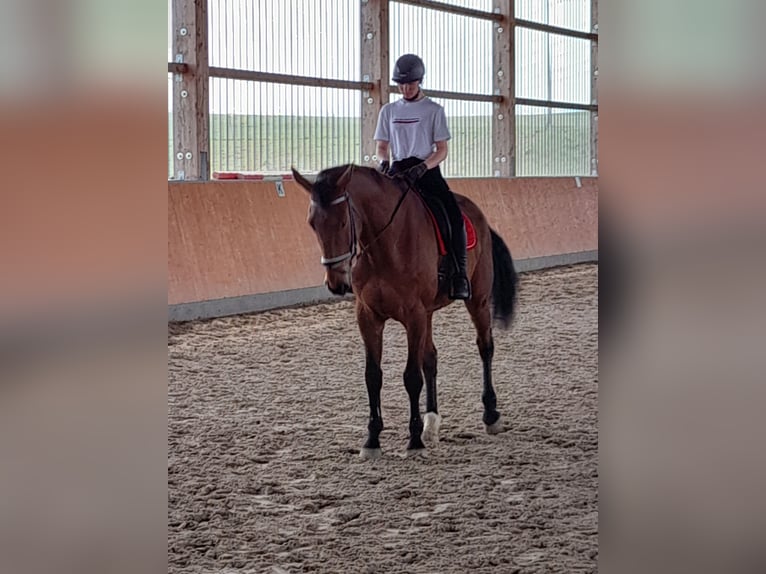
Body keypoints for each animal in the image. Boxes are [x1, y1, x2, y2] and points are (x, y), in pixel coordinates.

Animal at [292, 164, 520, 462]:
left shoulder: (413, 315)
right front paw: (372, 439)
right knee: (431, 358)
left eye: (342, 222)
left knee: (485, 347)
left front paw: (413, 440)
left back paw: (491, 414)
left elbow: (411, 377)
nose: (336, 283)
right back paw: (431, 423)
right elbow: (373, 376)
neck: (385, 246)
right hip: (429, 313)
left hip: (478, 301)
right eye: (312, 224)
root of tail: (477, 213)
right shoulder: (368, 316)